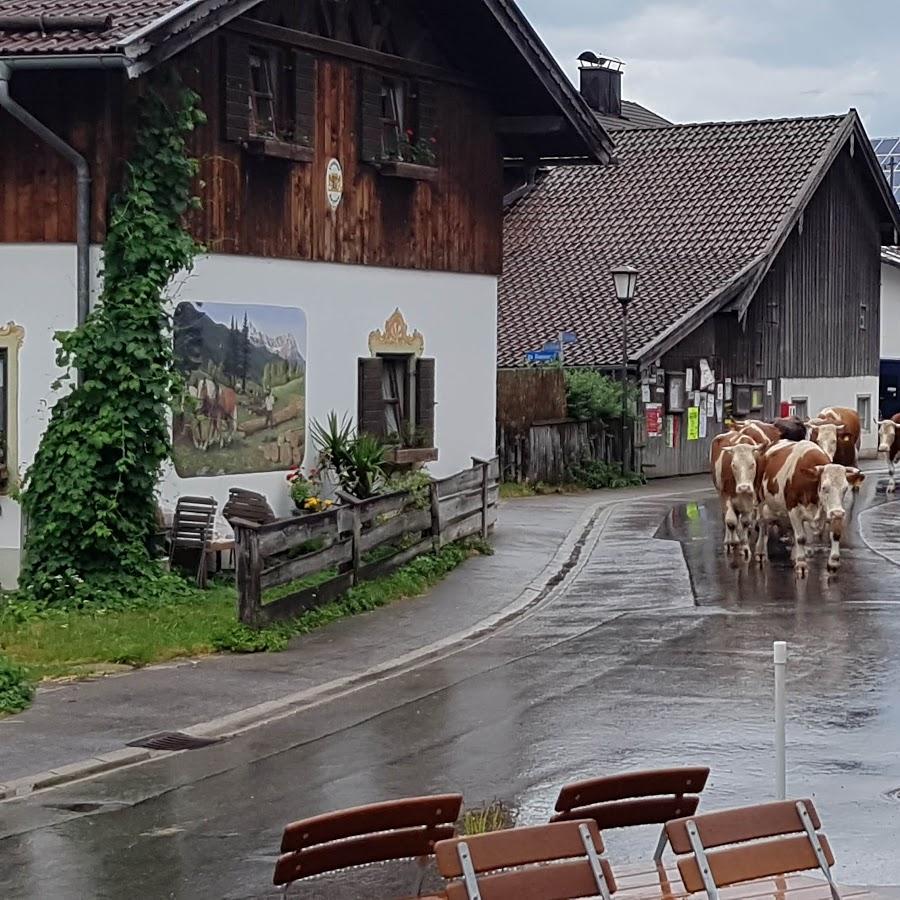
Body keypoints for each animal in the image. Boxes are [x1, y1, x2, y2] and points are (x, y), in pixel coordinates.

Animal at [752, 442, 864, 576]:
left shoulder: (830, 510)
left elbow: (835, 534)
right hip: (760, 502)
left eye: (845, 488)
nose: (838, 513)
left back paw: (794, 554)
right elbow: (801, 538)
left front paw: (833, 562)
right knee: (762, 525)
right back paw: (760, 552)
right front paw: (801, 563)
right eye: (824, 487)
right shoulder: (793, 509)